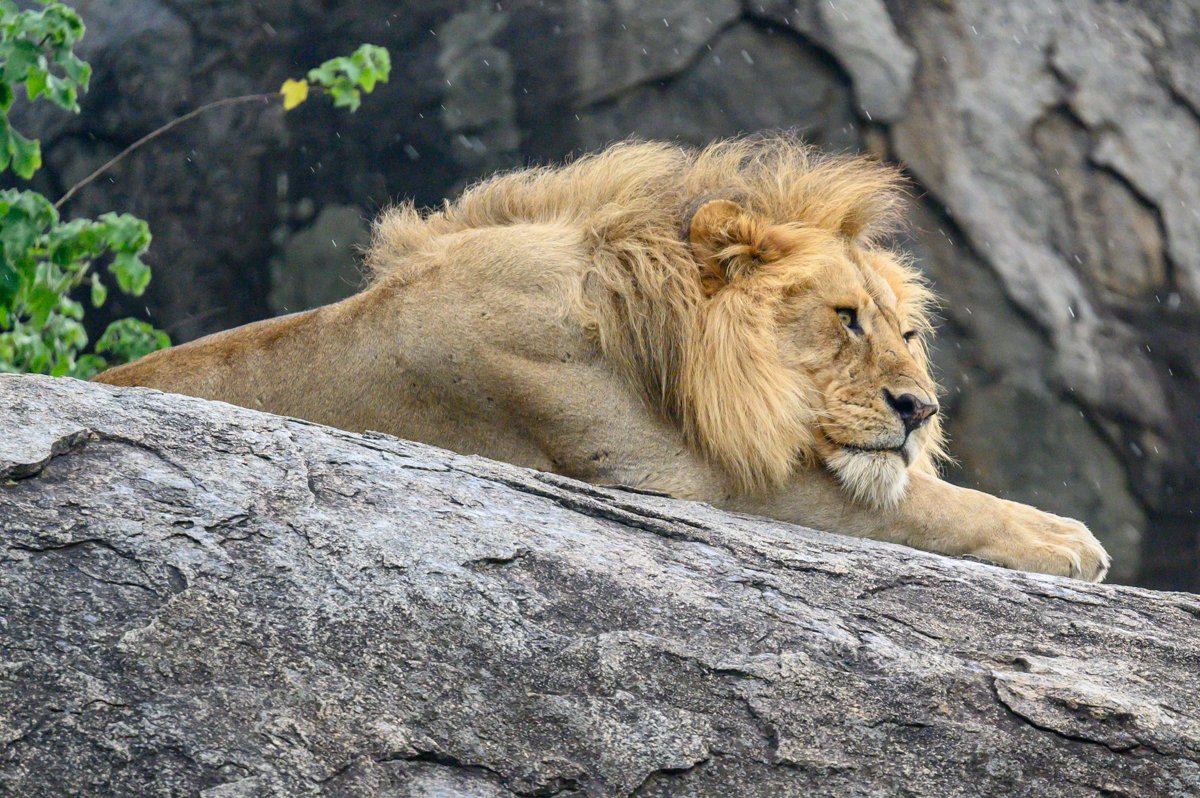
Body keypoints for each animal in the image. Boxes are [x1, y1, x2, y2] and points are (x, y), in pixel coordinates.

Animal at [94, 136, 1110, 581]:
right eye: (846, 318)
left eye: (908, 333)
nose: (919, 411)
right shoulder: (682, 478)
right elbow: (921, 505)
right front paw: (1068, 541)